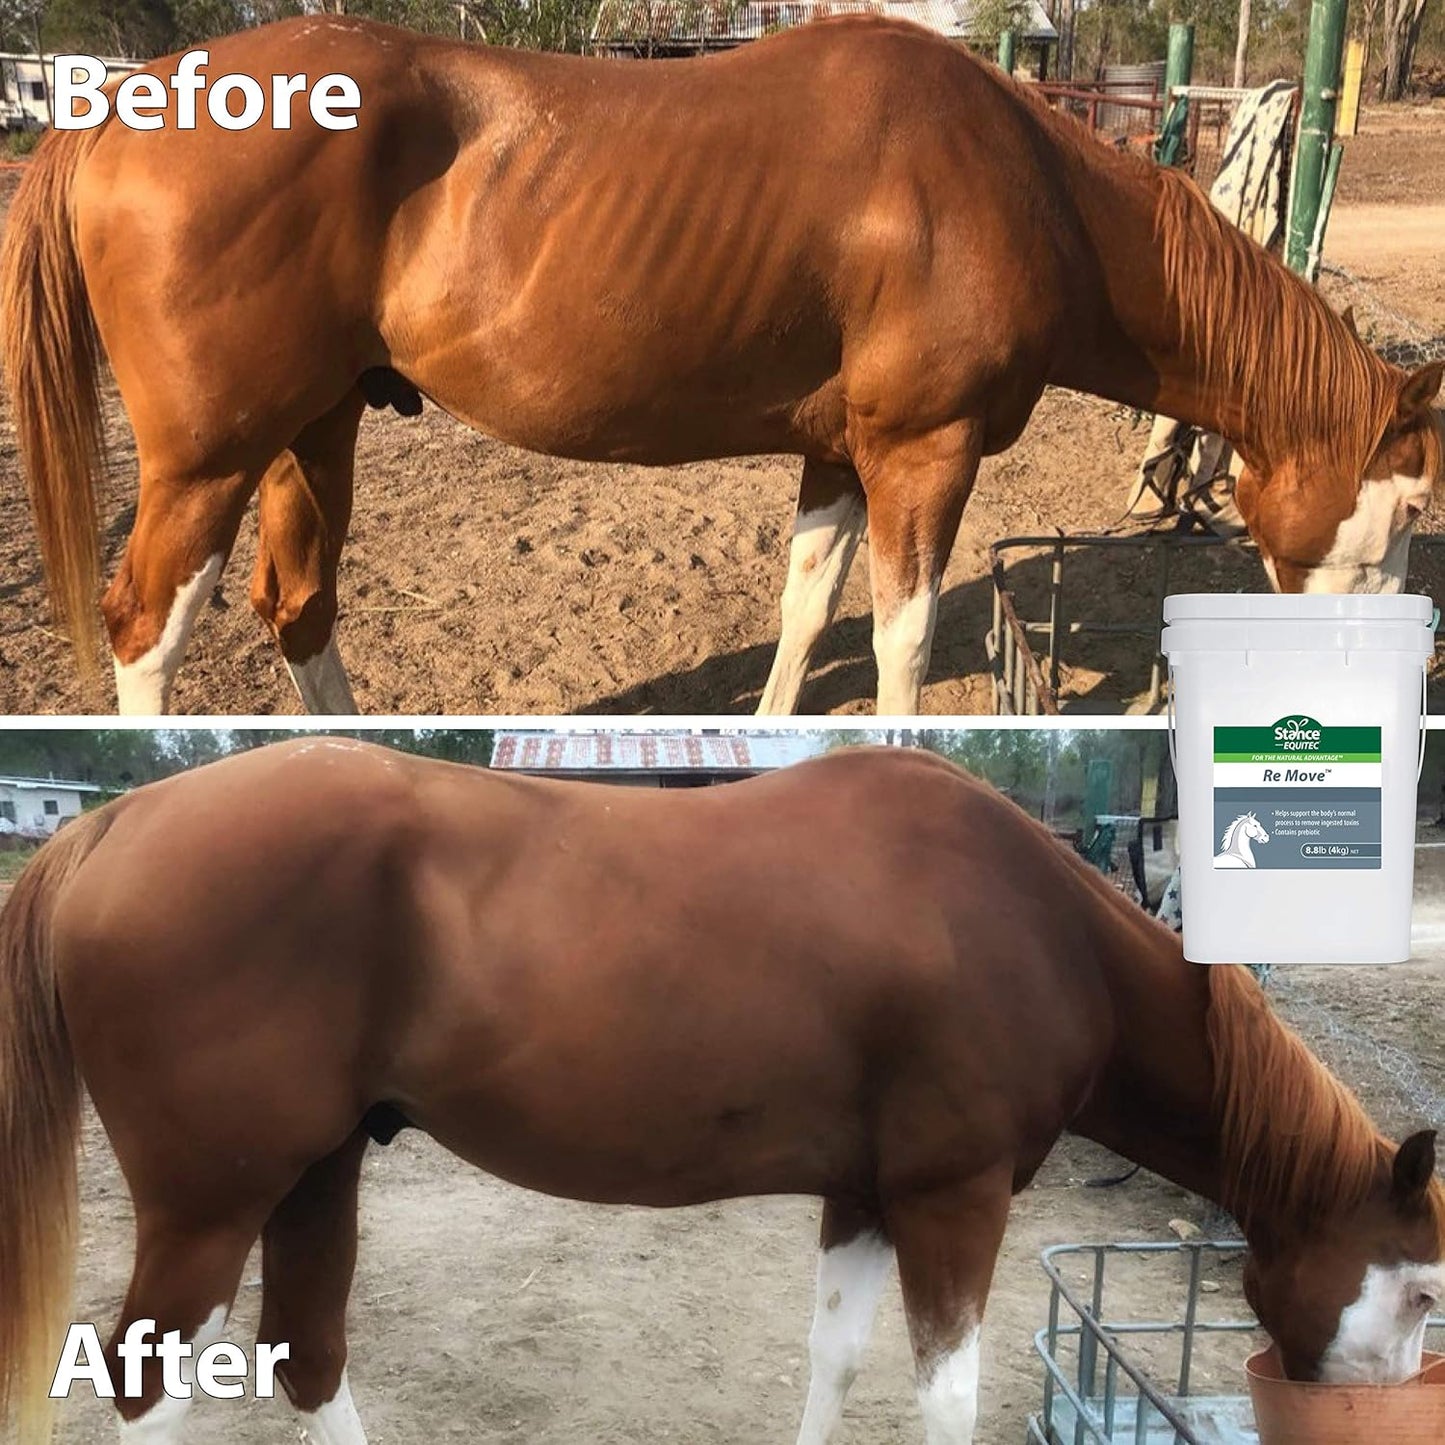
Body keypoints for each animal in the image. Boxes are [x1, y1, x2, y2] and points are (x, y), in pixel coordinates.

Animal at [1, 742, 1441, 1445]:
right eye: (1423, 1287)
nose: (1363, 1415)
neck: (1033, 923)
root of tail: (112, 826)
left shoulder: (866, 1194)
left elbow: (833, 1356)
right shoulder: (954, 1196)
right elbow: (944, 1394)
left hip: (316, 1170)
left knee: (307, 1355)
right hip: (210, 1203)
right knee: (150, 1382)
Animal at [2, 19, 1441, 717]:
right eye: (1408, 510)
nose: (1386, 686)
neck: (1018, 182)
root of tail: (120, 101)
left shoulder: (837, 455)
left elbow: (806, 610)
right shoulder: (923, 452)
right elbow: (901, 639)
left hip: (316, 429)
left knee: (298, 608)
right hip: (208, 460)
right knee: (145, 628)